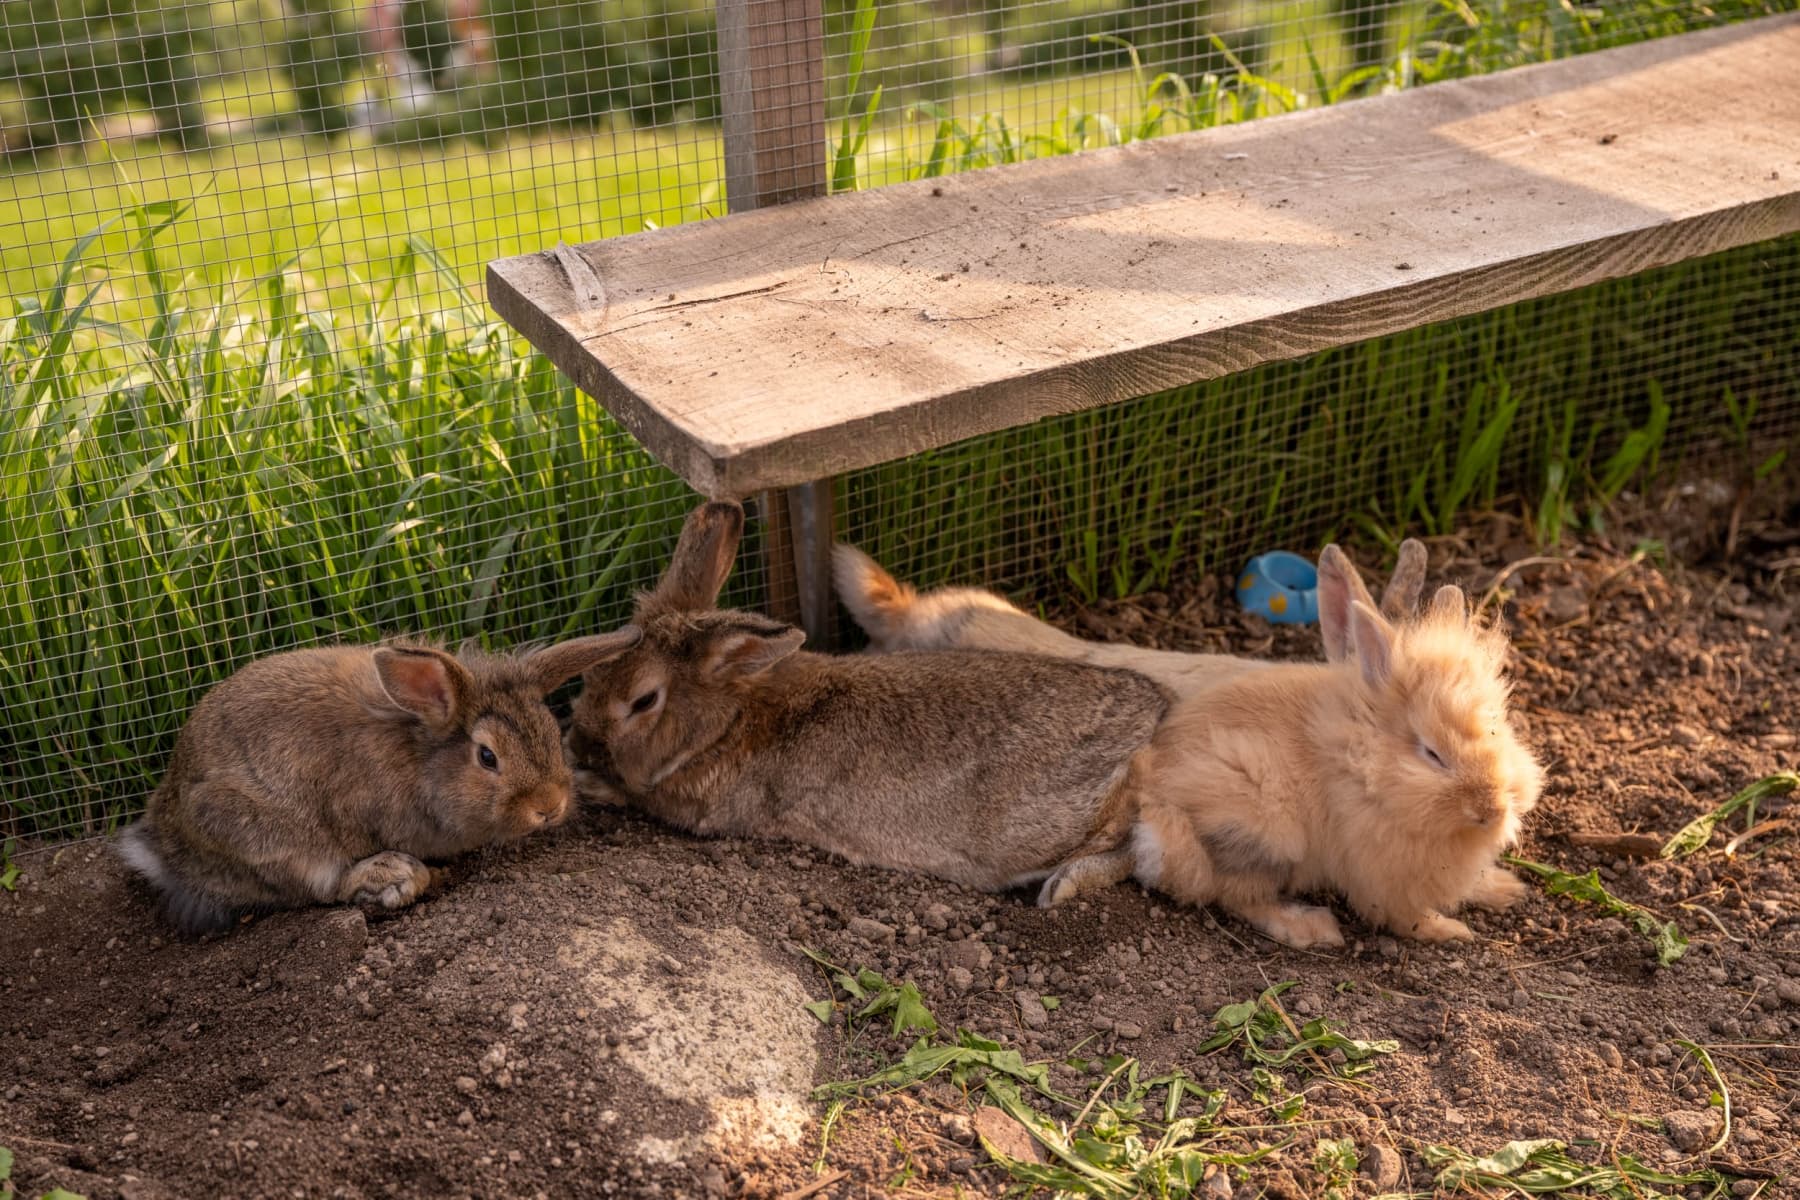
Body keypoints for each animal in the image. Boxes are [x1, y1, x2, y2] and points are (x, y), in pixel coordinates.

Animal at [119, 633, 644, 935]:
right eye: (487, 757)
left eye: (553, 732)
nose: (550, 806)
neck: (418, 757)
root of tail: (162, 848)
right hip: (259, 836)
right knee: (313, 889)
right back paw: (394, 877)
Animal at [568, 503, 1173, 906]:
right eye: (590, 672)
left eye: (643, 700)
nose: (577, 742)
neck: (727, 722)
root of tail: (1152, 724)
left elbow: (636, 798)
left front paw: (586, 783)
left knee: (1130, 847)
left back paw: (1061, 887)